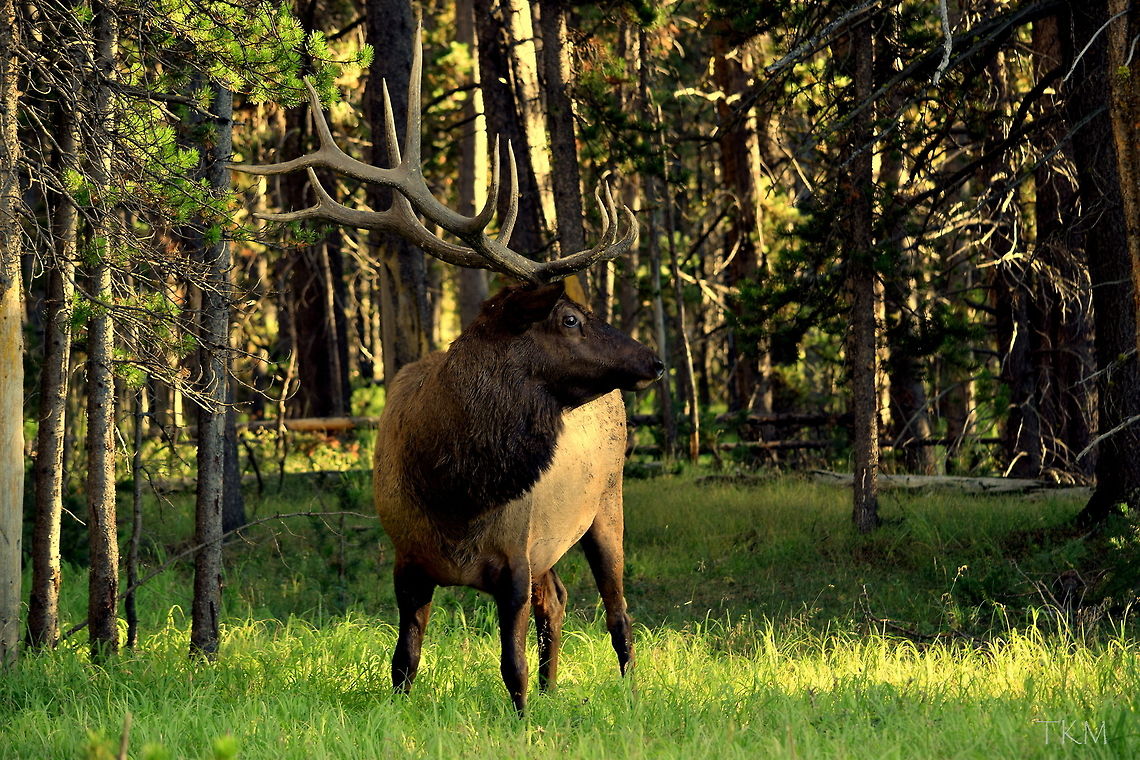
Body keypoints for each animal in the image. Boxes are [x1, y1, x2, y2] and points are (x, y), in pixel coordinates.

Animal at [232, 26, 662, 715]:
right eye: (570, 319)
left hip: (607, 503)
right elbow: (402, 663)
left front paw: (525, 718)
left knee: (618, 613)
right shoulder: (406, 560)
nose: (653, 359)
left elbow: (511, 667)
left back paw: (625, 692)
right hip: (558, 537)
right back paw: (557, 687)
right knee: (560, 601)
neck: (455, 492)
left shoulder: (514, 556)